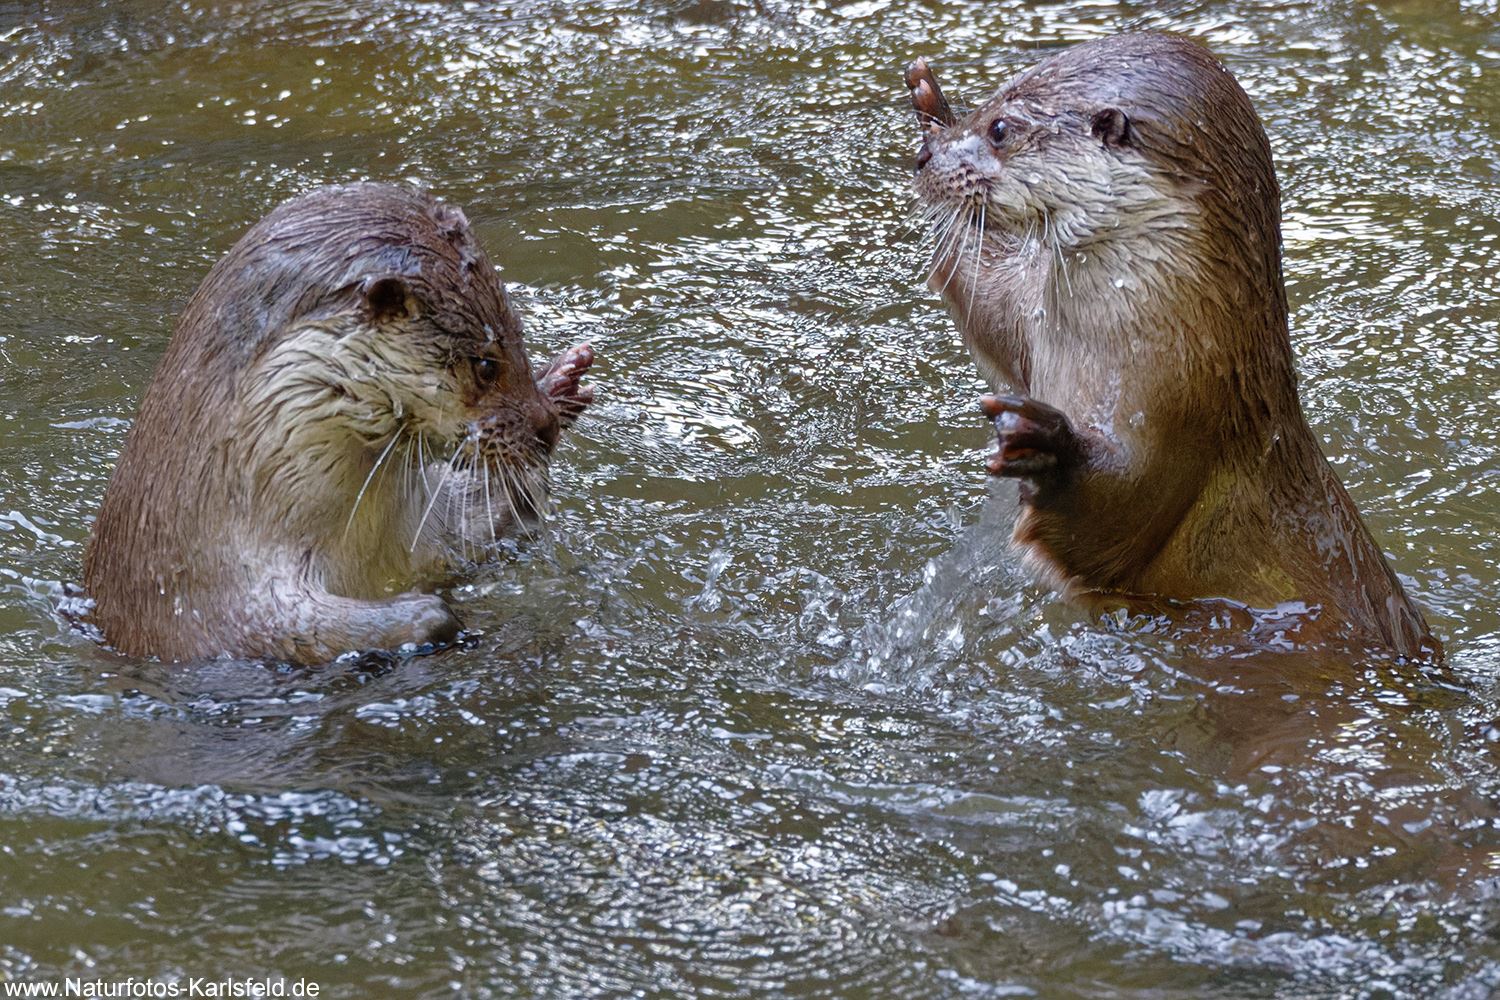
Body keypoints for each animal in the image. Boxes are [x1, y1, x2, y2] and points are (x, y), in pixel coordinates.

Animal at [82, 183, 594, 664]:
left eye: (519, 336)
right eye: (486, 364)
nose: (545, 428)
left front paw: (563, 382)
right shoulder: (218, 606)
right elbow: (296, 630)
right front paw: (431, 616)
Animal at [905, 33, 1437, 657]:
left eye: (1000, 129)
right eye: (985, 106)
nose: (925, 159)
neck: (1189, 345)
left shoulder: (1186, 416)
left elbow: (1113, 526)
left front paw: (1047, 446)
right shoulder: (1034, 335)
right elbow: (989, 305)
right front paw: (930, 104)